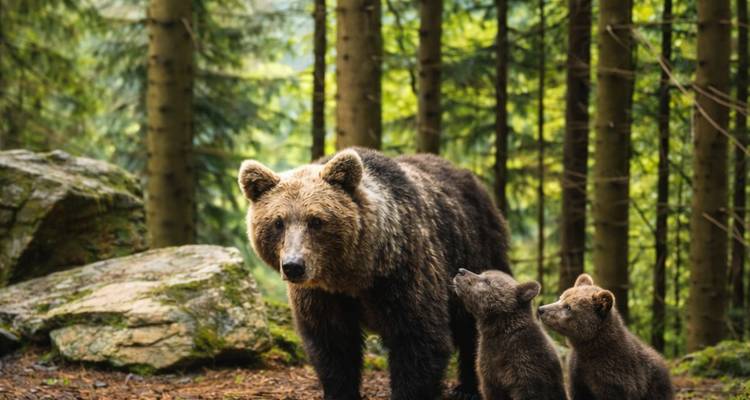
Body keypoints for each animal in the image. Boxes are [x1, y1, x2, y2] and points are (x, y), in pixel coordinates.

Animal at [237, 148, 511, 400]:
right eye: (278, 222)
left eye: (316, 220)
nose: (294, 265)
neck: (354, 274)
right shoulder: (321, 295)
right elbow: (333, 345)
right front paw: (342, 391)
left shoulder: (403, 274)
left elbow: (418, 338)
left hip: (474, 251)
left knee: (472, 324)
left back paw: (468, 388)